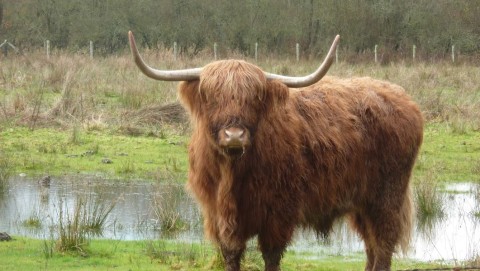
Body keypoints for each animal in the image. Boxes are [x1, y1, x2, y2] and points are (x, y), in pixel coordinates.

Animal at [127, 30, 424, 270]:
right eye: (211, 96)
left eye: (254, 97)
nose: (234, 135)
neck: (232, 175)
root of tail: (401, 97)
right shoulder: (218, 216)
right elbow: (231, 256)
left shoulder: (278, 214)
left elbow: (271, 257)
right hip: (361, 204)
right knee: (371, 246)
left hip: (387, 198)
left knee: (383, 244)